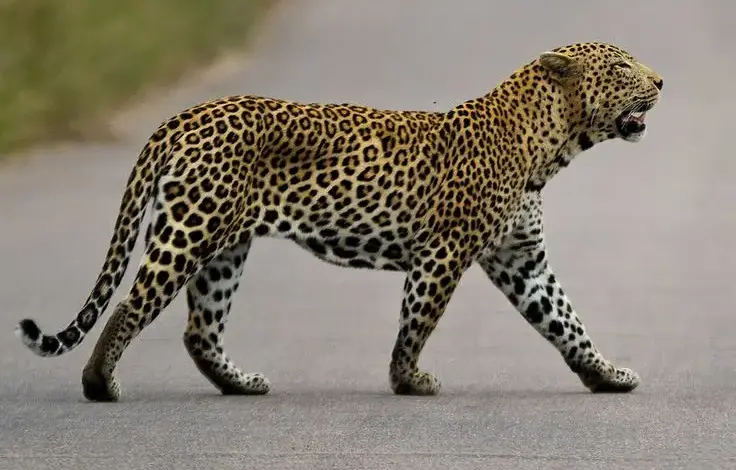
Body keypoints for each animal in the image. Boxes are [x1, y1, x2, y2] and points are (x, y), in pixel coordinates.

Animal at [15, 41, 663, 402]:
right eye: (622, 66)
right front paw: (409, 381)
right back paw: (100, 385)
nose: (660, 81)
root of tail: (186, 115)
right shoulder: (444, 251)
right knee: (132, 303)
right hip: (191, 229)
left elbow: (566, 321)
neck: (551, 145)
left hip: (225, 247)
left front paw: (606, 375)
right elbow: (417, 321)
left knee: (200, 330)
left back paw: (241, 384)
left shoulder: (521, 259)